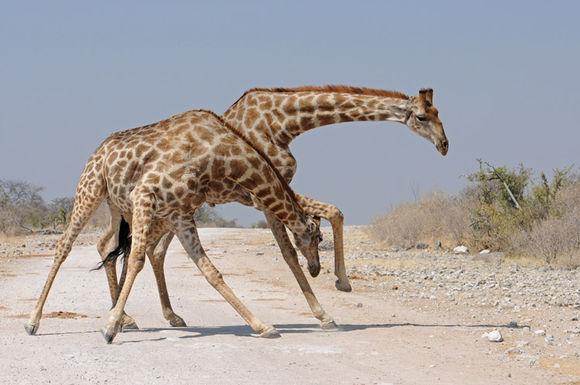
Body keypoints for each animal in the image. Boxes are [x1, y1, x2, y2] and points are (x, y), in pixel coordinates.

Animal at [23, 109, 330, 342]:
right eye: (319, 238)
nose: (316, 268)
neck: (223, 158)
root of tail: (99, 148)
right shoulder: (145, 193)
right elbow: (136, 259)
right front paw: (109, 329)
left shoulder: (180, 213)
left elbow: (211, 271)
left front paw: (263, 326)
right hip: (91, 188)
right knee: (65, 245)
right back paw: (33, 322)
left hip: (117, 205)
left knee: (106, 244)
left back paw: (124, 318)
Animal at [98, 84, 448, 330]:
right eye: (422, 117)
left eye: (439, 113)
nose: (444, 145)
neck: (284, 122)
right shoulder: (264, 194)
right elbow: (296, 246)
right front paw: (330, 302)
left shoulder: (272, 190)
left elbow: (329, 214)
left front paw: (338, 285)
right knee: (124, 247)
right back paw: (128, 317)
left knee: (140, 249)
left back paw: (157, 316)